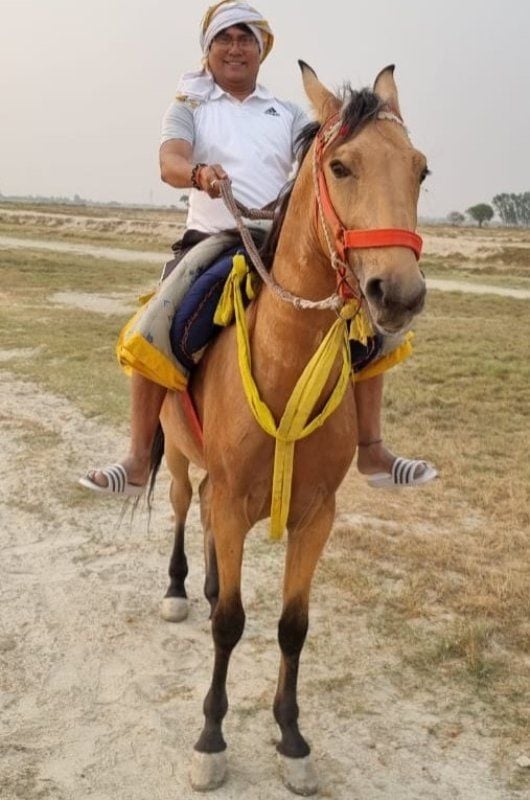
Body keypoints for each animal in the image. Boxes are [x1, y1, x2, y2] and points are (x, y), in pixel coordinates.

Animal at [152, 63, 428, 795]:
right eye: (341, 166)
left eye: (420, 170)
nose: (400, 294)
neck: (287, 359)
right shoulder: (231, 498)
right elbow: (229, 624)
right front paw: (211, 738)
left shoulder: (315, 515)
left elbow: (292, 626)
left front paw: (293, 738)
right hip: (182, 460)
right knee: (185, 507)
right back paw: (179, 587)